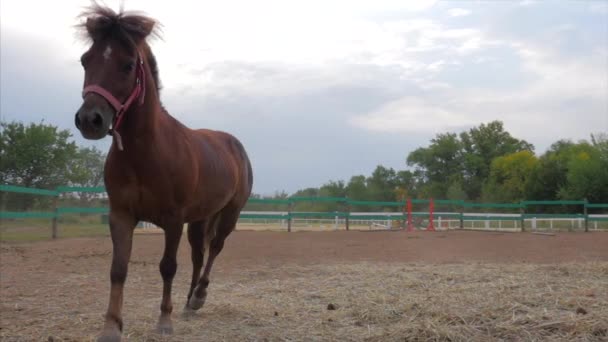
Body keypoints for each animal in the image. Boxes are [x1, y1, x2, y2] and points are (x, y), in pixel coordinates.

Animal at [73, 4, 252, 340]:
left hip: (229, 214)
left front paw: (164, 321)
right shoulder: (121, 215)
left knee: (214, 250)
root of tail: (235, 145)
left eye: (128, 65)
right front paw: (111, 326)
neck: (146, 153)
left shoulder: (172, 220)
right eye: (85, 60)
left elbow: (167, 266)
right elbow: (118, 269)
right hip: (199, 218)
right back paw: (188, 304)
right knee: (198, 255)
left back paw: (198, 297)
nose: (90, 120)